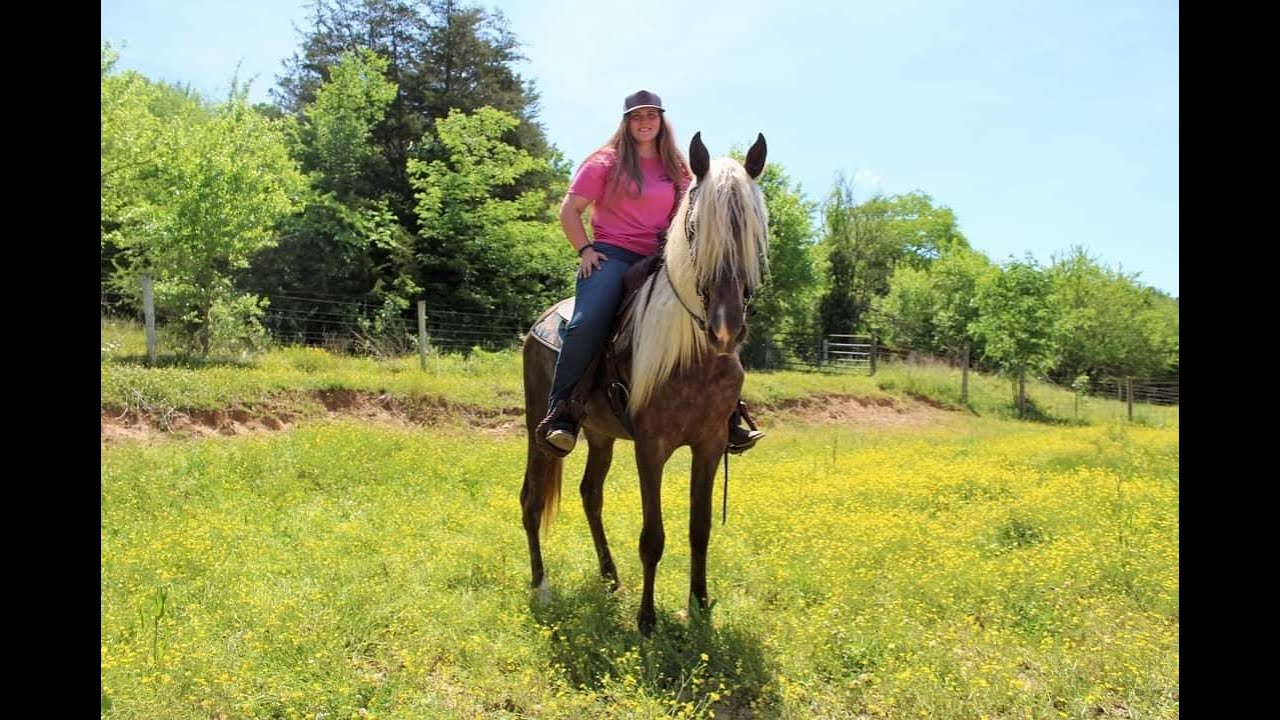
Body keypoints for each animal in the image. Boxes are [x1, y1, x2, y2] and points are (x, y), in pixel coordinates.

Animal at [519, 130, 768, 632]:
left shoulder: (710, 443)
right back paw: (541, 586)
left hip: (599, 435)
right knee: (532, 501)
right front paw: (647, 620)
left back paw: (610, 578)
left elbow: (699, 529)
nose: (726, 328)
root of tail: (541, 322)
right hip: (538, 429)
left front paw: (699, 608)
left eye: (753, 231)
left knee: (590, 495)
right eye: (695, 229)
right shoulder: (651, 446)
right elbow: (653, 536)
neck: (693, 356)